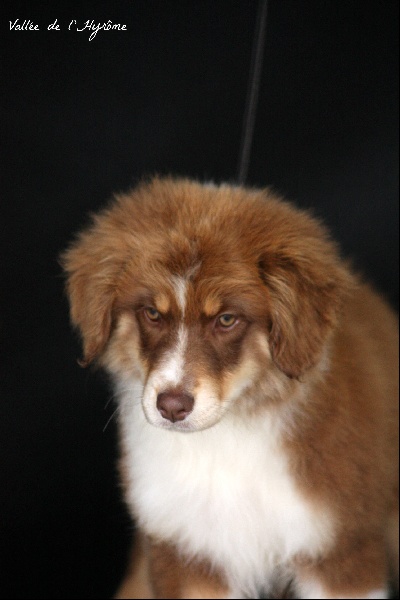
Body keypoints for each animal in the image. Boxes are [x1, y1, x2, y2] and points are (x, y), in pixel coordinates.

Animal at [62, 177, 398, 599]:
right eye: (152, 313)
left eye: (226, 319)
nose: (172, 406)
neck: (232, 433)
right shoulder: (188, 550)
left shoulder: (341, 549)